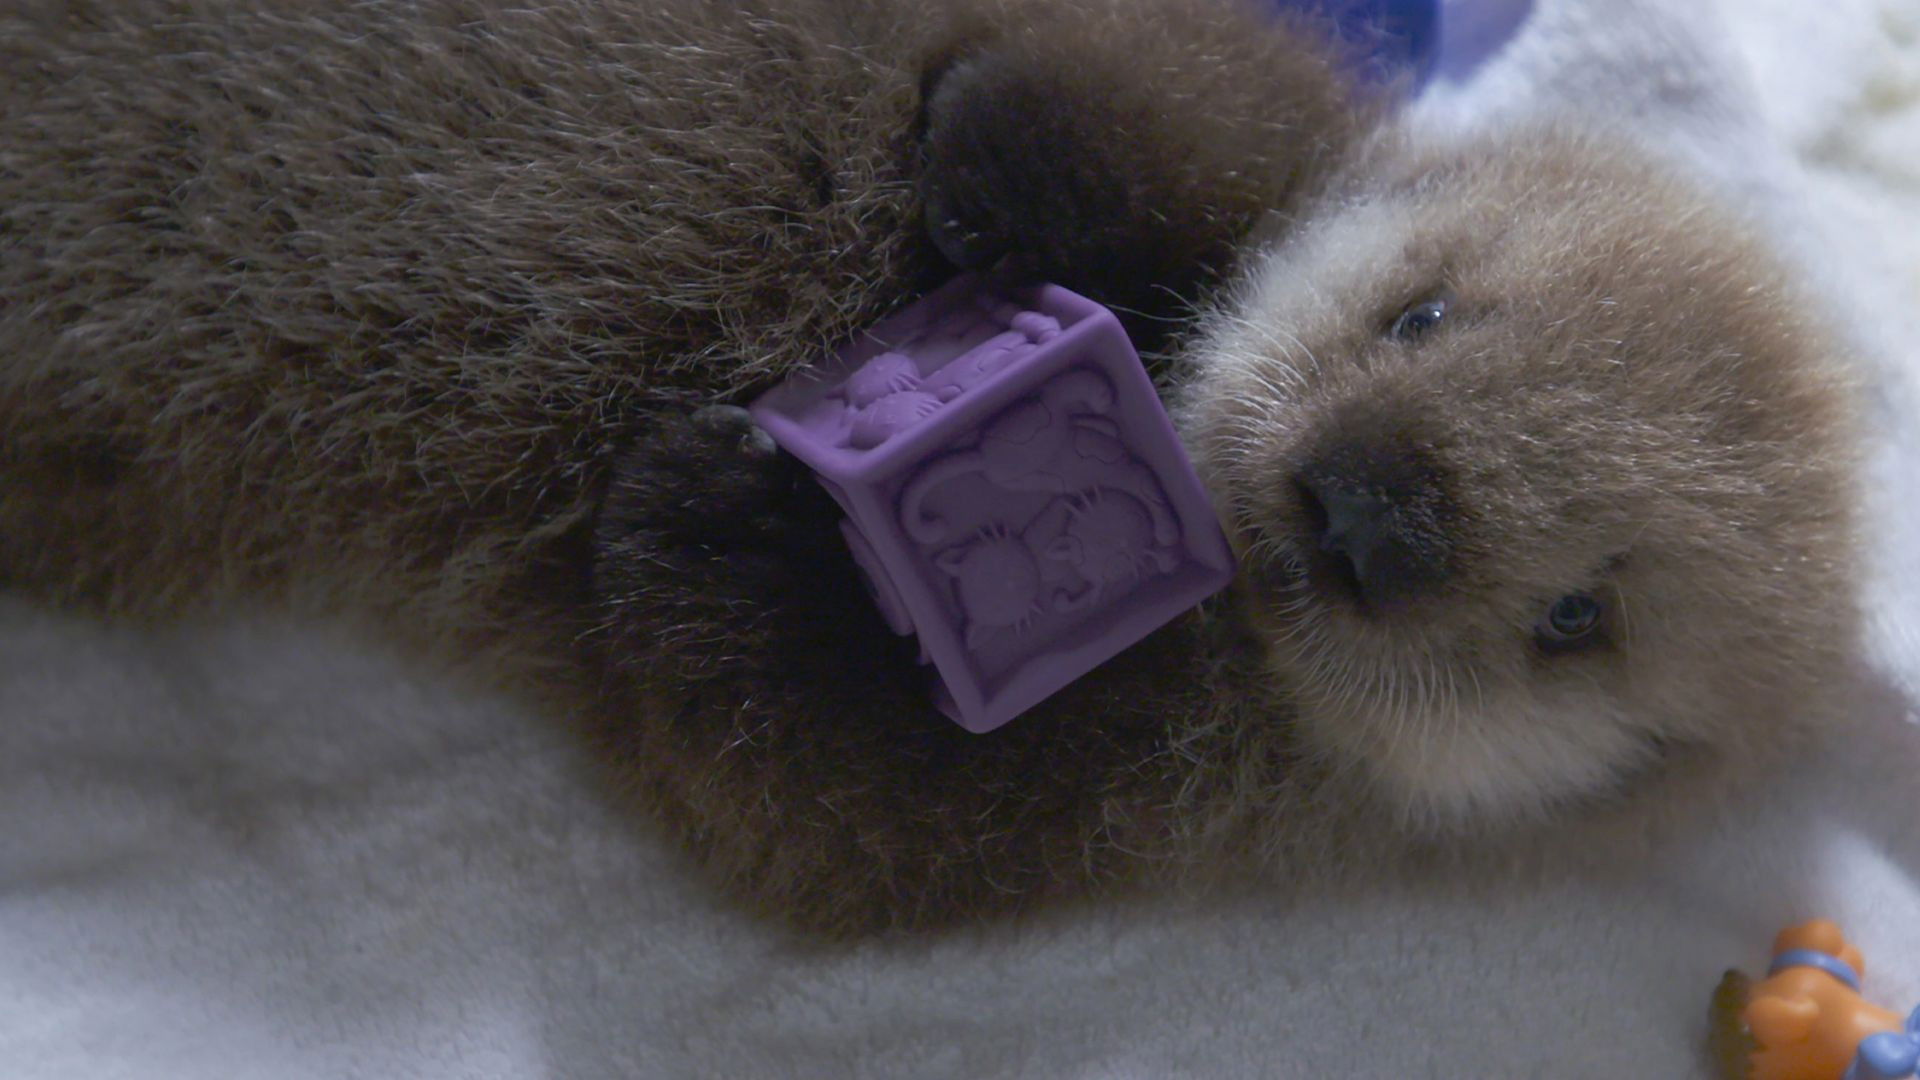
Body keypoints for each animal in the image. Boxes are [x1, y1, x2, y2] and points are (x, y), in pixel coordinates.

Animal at [0, 0, 1859, 935]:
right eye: (1422, 311)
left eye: (1577, 621)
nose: (1367, 511)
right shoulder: (1259, 100)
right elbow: (1175, 90)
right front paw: (1006, 178)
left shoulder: (1092, 816)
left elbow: (794, 786)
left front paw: (725, 524)